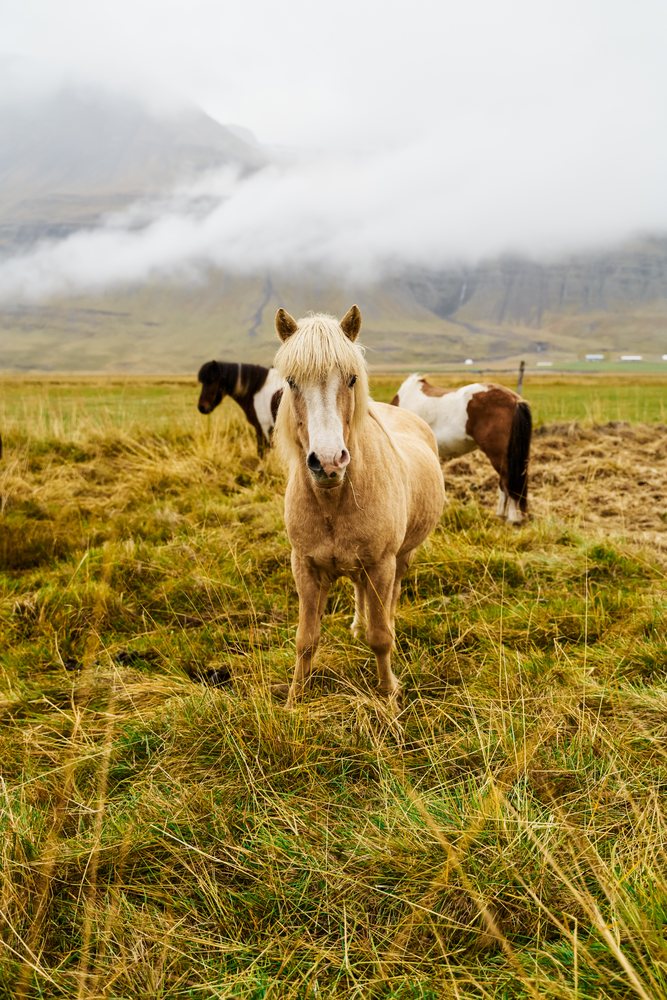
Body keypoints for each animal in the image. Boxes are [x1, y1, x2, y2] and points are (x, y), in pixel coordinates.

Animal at [273, 306, 445, 707]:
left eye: (351, 379)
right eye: (291, 381)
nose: (328, 462)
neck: (333, 503)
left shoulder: (381, 564)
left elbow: (380, 638)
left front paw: (388, 695)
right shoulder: (304, 566)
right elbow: (306, 640)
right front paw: (294, 700)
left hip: (401, 558)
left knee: (390, 597)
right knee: (359, 591)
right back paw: (356, 623)